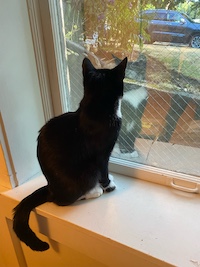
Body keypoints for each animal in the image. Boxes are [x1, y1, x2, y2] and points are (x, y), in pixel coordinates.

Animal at [13, 57, 127, 252]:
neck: (96, 105)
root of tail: (50, 188)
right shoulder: (103, 153)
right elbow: (104, 169)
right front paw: (108, 185)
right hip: (87, 171)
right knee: (61, 201)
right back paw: (93, 192)